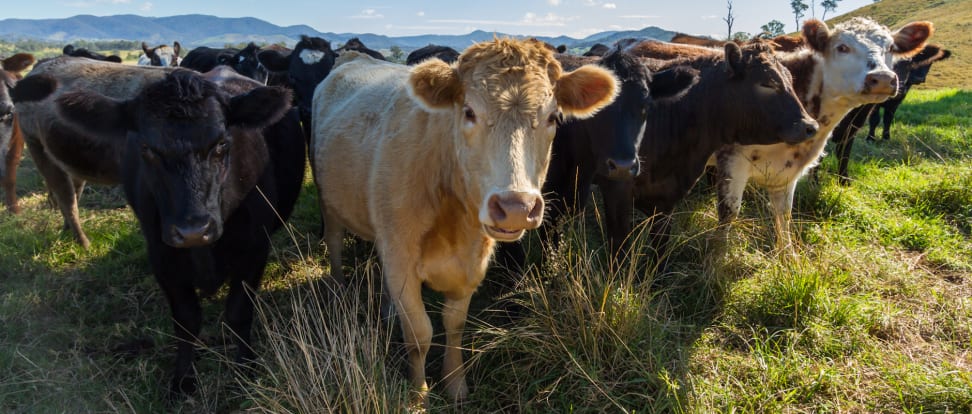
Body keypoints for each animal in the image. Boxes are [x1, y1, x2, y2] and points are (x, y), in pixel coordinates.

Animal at [29, 68, 304, 398]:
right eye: (147, 149)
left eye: (222, 144)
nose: (193, 230)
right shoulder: (162, 255)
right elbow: (186, 320)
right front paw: (182, 380)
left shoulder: (254, 248)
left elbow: (239, 312)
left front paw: (246, 369)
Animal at [312, 38, 616, 402]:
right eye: (469, 112)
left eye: (553, 117)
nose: (516, 206)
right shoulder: (402, 257)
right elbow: (419, 333)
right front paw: (418, 393)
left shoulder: (469, 264)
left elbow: (454, 324)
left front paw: (455, 383)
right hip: (328, 198)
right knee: (334, 242)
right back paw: (338, 290)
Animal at [712, 17, 936, 247]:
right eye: (842, 47)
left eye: (890, 47)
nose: (882, 78)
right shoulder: (733, 160)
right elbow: (729, 214)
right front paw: (718, 253)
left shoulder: (787, 170)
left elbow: (784, 215)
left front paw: (787, 253)